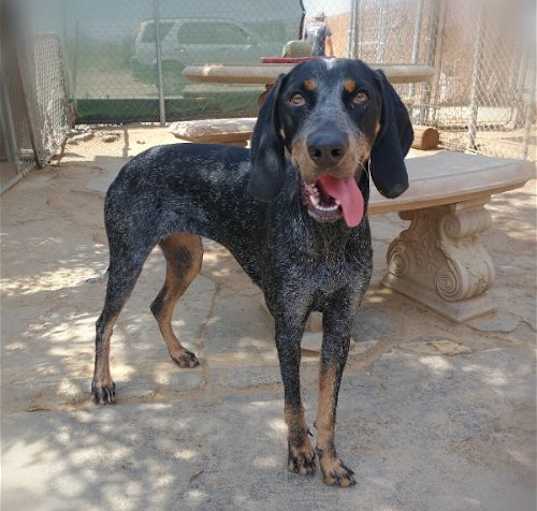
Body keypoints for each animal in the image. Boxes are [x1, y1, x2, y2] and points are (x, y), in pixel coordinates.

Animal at [92, 58, 412, 486]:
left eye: (360, 95)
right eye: (296, 98)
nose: (327, 148)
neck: (325, 233)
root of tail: (132, 162)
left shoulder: (340, 324)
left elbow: (328, 406)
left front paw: (329, 460)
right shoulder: (288, 324)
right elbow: (294, 402)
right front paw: (300, 452)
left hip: (187, 257)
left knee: (159, 306)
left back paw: (177, 354)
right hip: (128, 259)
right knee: (104, 323)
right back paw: (101, 383)